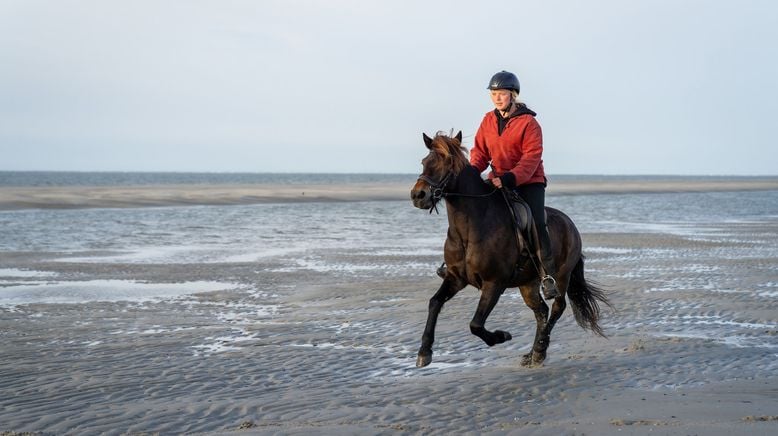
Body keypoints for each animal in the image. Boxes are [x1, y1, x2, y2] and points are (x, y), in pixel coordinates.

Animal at [410, 130, 608, 368]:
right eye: (424, 162)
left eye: (447, 163)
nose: (418, 195)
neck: (471, 228)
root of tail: (571, 225)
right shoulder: (455, 278)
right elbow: (435, 303)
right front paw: (424, 351)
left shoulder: (494, 283)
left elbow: (475, 324)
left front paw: (501, 336)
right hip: (527, 284)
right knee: (541, 311)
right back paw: (533, 353)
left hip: (561, 277)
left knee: (557, 308)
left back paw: (539, 350)